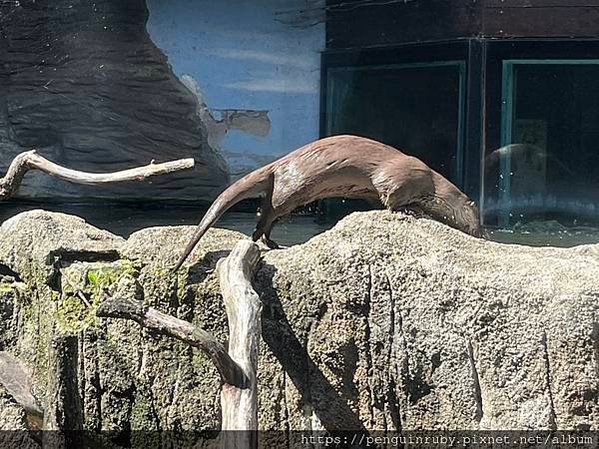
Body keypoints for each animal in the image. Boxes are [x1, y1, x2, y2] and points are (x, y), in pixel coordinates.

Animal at [172, 135, 482, 272]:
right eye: (478, 222)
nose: (480, 234)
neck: (432, 183)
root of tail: (278, 164)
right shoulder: (403, 176)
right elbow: (390, 196)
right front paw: (410, 209)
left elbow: (378, 199)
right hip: (292, 188)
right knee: (266, 212)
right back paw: (264, 240)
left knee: (266, 212)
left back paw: (273, 243)